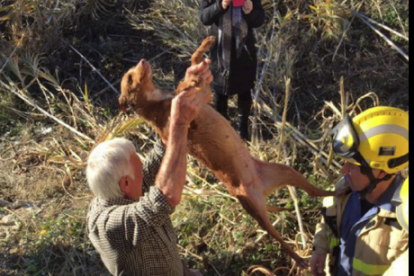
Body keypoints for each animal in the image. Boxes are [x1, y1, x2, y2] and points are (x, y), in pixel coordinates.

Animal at [118, 36, 334, 268]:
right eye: (129, 78)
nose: (142, 61)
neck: (156, 102)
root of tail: (261, 189)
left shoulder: (205, 96)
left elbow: (194, 62)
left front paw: (205, 46)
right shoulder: (185, 120)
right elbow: (184, 89)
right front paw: (188, 81)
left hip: (287, 172)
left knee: (318, 193)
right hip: (257, 212)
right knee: (282, 242)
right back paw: (300, 259)